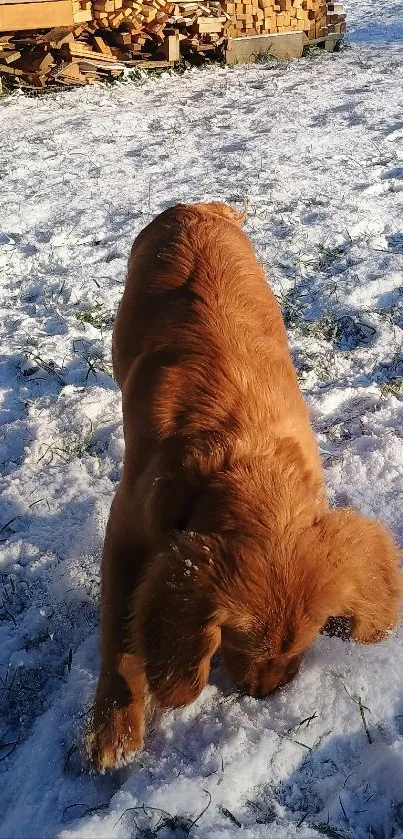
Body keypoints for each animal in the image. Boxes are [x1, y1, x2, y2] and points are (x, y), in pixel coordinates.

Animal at [87, 202, 402, 776]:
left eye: (308, 638)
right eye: (235, 640)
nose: (266, 694)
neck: (242, 456)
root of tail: (194, 207)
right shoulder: (124, 528)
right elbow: (117, 634)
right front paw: (113, 728)